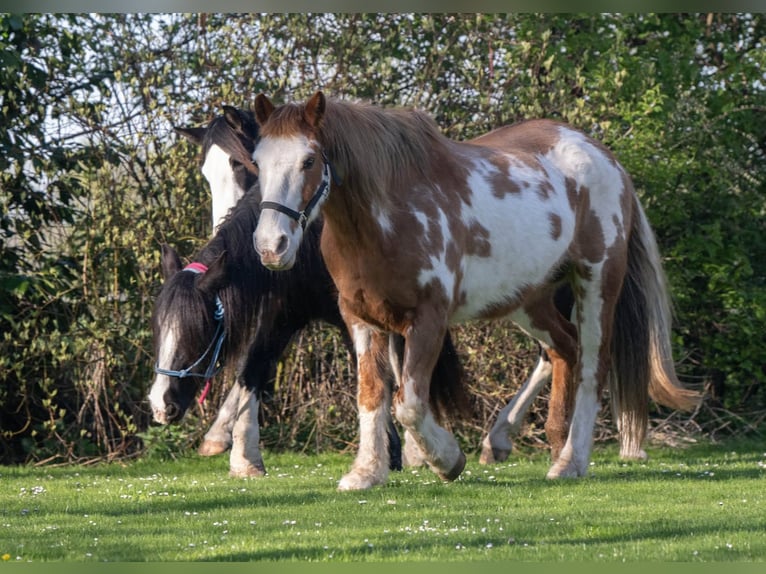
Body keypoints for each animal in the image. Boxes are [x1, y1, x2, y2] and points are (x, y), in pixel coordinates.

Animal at [149, 113, 470, 478]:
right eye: (158, 331)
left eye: (198, 333)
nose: (160, 405)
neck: (308, 246)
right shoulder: (283, 313)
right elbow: (252, 368)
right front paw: (244, 456)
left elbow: (379, 377)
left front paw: (389, 453)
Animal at [250, 91, 701, 489]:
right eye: (257, 161)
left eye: (309, 160)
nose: (272, 246)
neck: (386, 218)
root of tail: (606, 158)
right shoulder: (361, 319)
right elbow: (371, 396)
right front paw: (366, 473)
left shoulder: (429, 318)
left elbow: (409, 404)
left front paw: (447, 460)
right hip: (529, 299)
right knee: (562, 349)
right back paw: (537, 444)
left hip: (596, 279)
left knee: (592, 364)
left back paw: (571, 461)